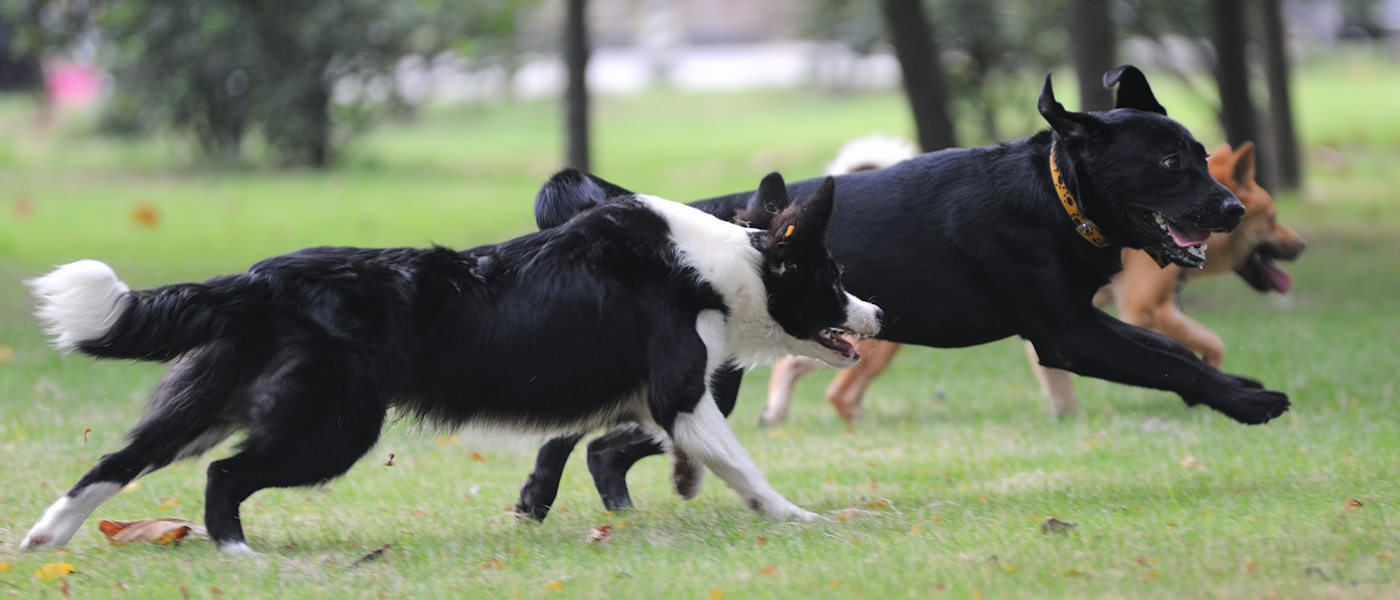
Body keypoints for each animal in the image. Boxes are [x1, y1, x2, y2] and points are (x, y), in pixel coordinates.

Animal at [761, 141, 1304, 419]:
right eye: (1272, 215)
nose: (1299, 245)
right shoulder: (1107, 321)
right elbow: (1192, 350)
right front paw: (1238, 398)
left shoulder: (1079, 320)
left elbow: (1175, 352)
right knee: (824, 380)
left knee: (811, 370)